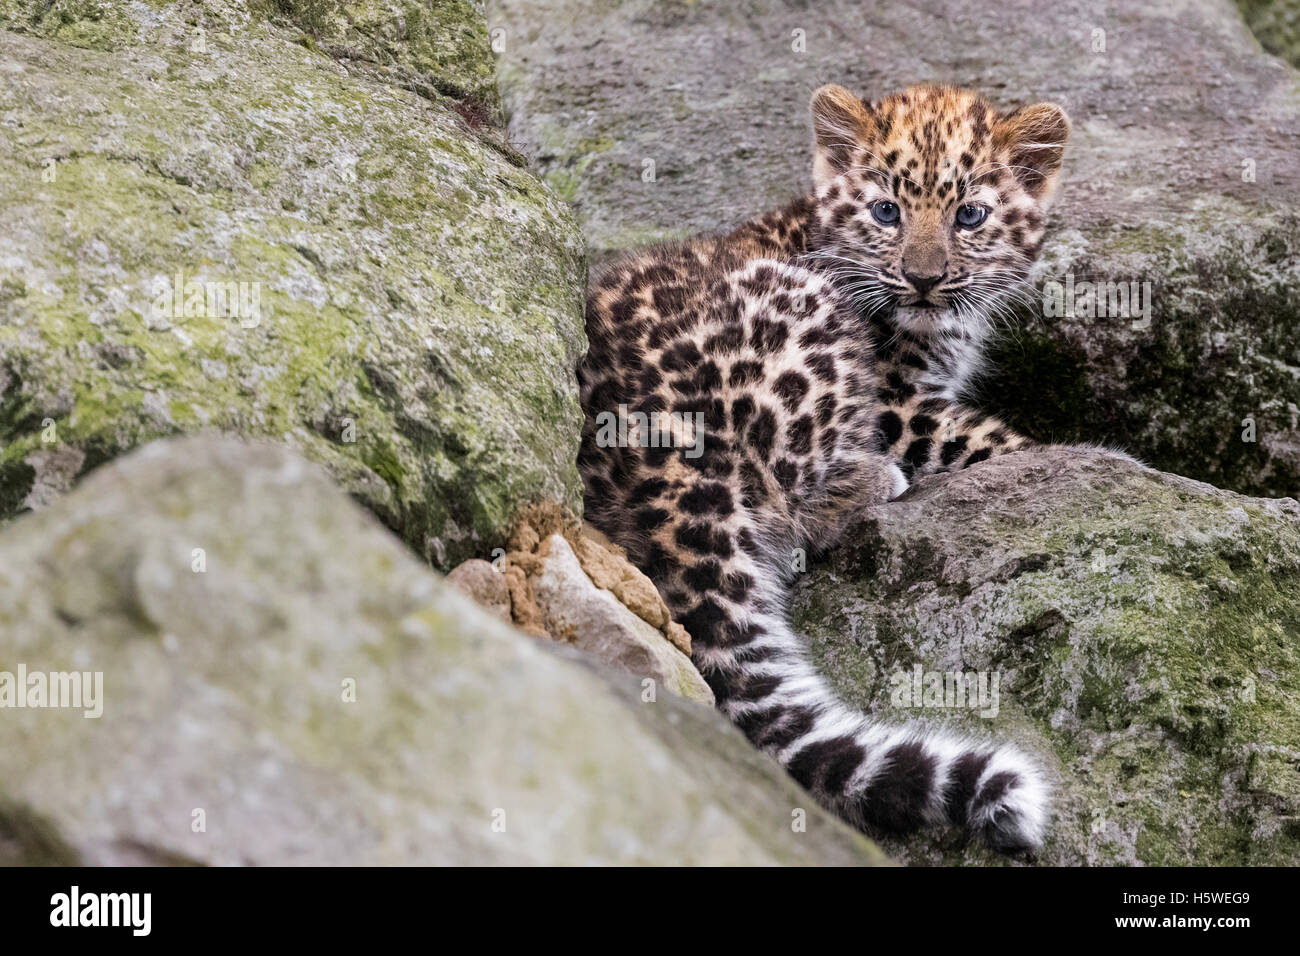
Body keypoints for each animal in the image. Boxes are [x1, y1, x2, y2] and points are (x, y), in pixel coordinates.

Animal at [577, 83, 1083, 853]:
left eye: (970, 215)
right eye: (886, 211)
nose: (924, 279)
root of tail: (654, 461)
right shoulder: (902, 406)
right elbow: (991, 440)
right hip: (810, 330)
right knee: (792, 514)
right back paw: (877, 480)